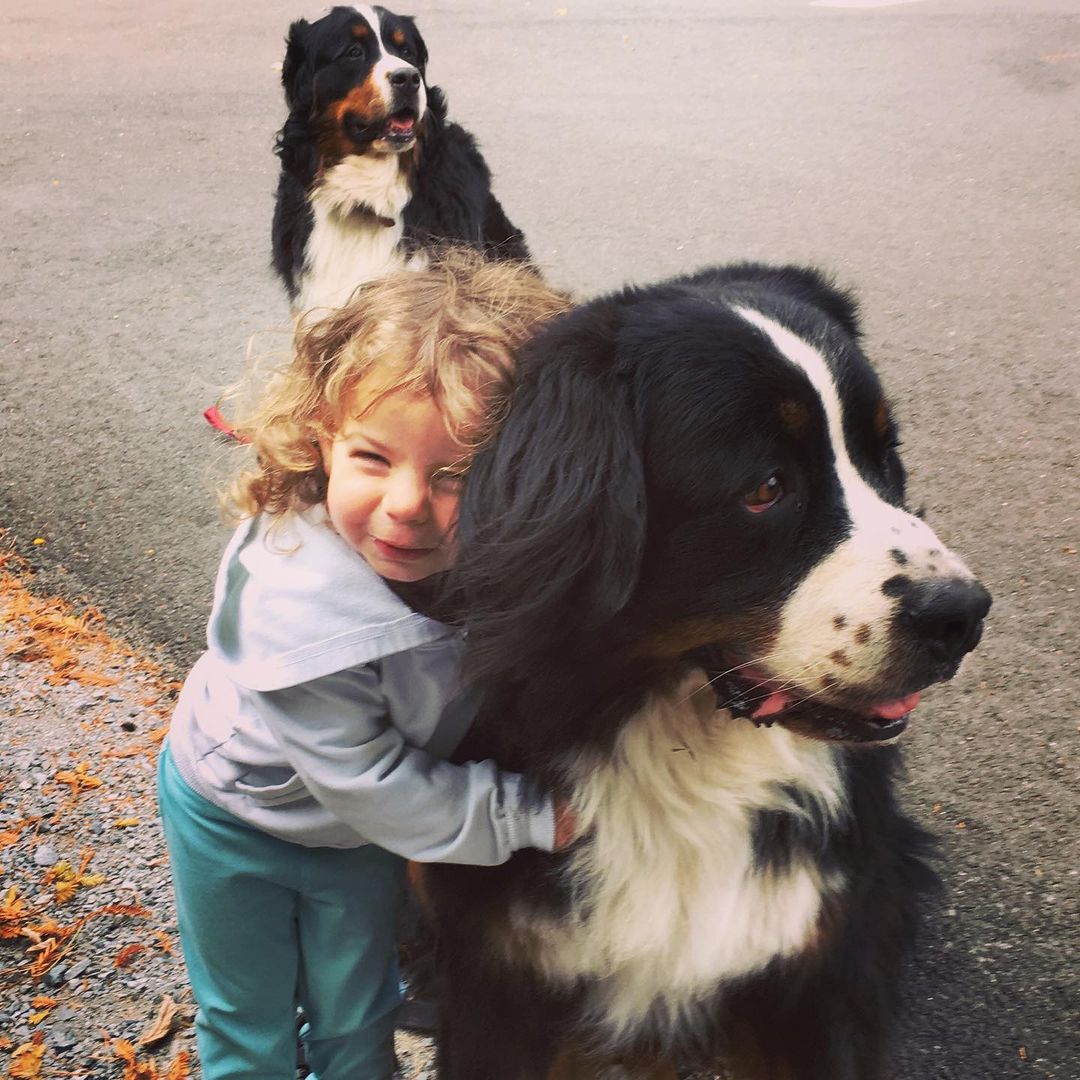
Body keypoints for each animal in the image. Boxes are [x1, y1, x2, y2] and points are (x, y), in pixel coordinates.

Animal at [423, 263, 993, 1080]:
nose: (962, 615)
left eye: (883, 454)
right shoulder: (501, 979)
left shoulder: (813, 972)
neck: (682, 753)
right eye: (765, 488)